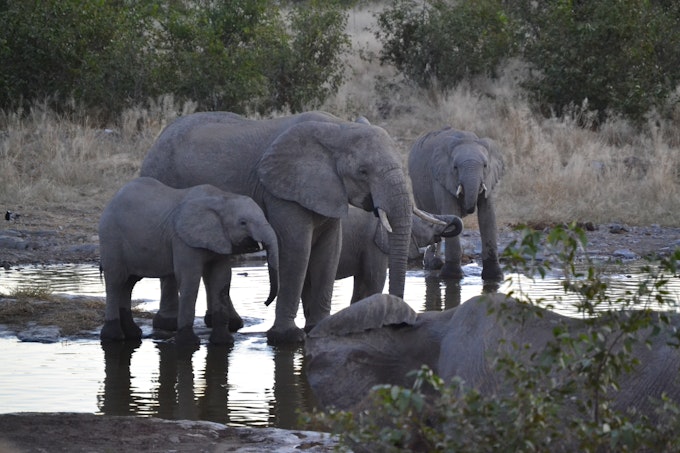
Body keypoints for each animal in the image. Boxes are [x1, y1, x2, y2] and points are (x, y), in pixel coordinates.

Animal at [98, 176, 279, 347]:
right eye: (243, 223)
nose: (265, 302)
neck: (222, 198)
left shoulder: (220, 240)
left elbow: (222, 280)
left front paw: (224, 342)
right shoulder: (182, 240)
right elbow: (189, 279)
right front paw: (187, 343)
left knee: (128, 283)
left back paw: (133, 334)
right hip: (111, 237)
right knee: (115, 281)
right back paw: (113, 337)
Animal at [140, 111, 438, 344]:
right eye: (363, 172)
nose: (399, 322)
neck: (338, 129)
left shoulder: (327, 191)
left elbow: (329, 251)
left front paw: (318, 328)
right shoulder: (283, 192)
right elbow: (296, 250)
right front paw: (287, 338)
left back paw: (228, 323)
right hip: (161, 178)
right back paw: (168, 324)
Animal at [408, 127, 504, 281]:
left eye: (485, 166)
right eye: (455, 167)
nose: (469, 209)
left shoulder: (489, 179)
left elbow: (487, 215)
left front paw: (495, 277)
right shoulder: (442, 177)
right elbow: (451, 210)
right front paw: (452, 276)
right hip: (417, 188)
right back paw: (432, 264)